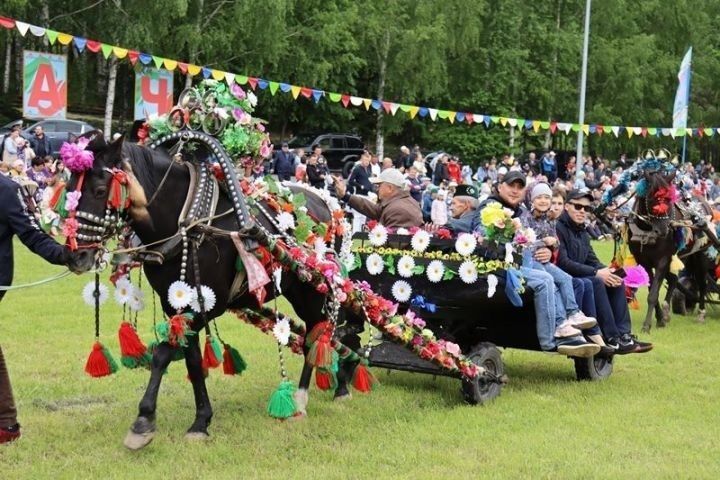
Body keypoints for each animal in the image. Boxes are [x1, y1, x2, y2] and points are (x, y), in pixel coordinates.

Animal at [69, 135, 356, 450]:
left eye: (99, 190)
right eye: (69, 187)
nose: (77, 257)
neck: (187, 221)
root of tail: (326, 201)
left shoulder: (207, 303)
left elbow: (162, 354)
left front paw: (143, 421)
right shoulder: (177, 305)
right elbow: (193, 361)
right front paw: (201, 421)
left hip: (313, 287)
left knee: (319, 334)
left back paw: (306, 396)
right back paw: (338, 379)